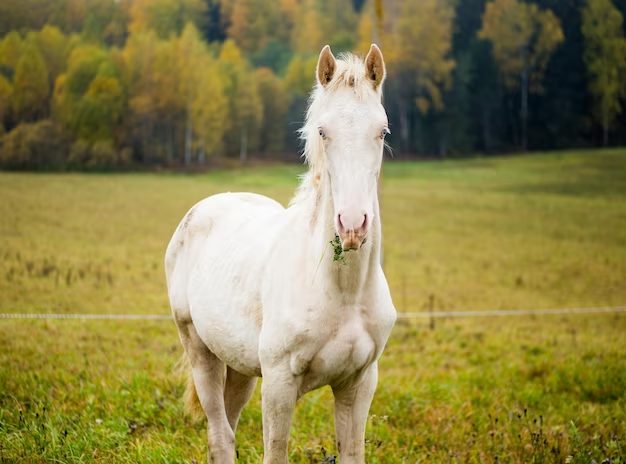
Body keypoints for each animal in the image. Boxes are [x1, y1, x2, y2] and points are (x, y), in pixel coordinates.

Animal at [166, 44, 394, 464]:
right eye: (323, 131)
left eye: (382, 131)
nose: (352, 225)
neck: (343, 292)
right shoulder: (279, 384)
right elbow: (275, 452)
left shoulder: (359, 383)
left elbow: (352, 451)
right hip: (201, 353)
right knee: (220, 437)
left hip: (239, 368)